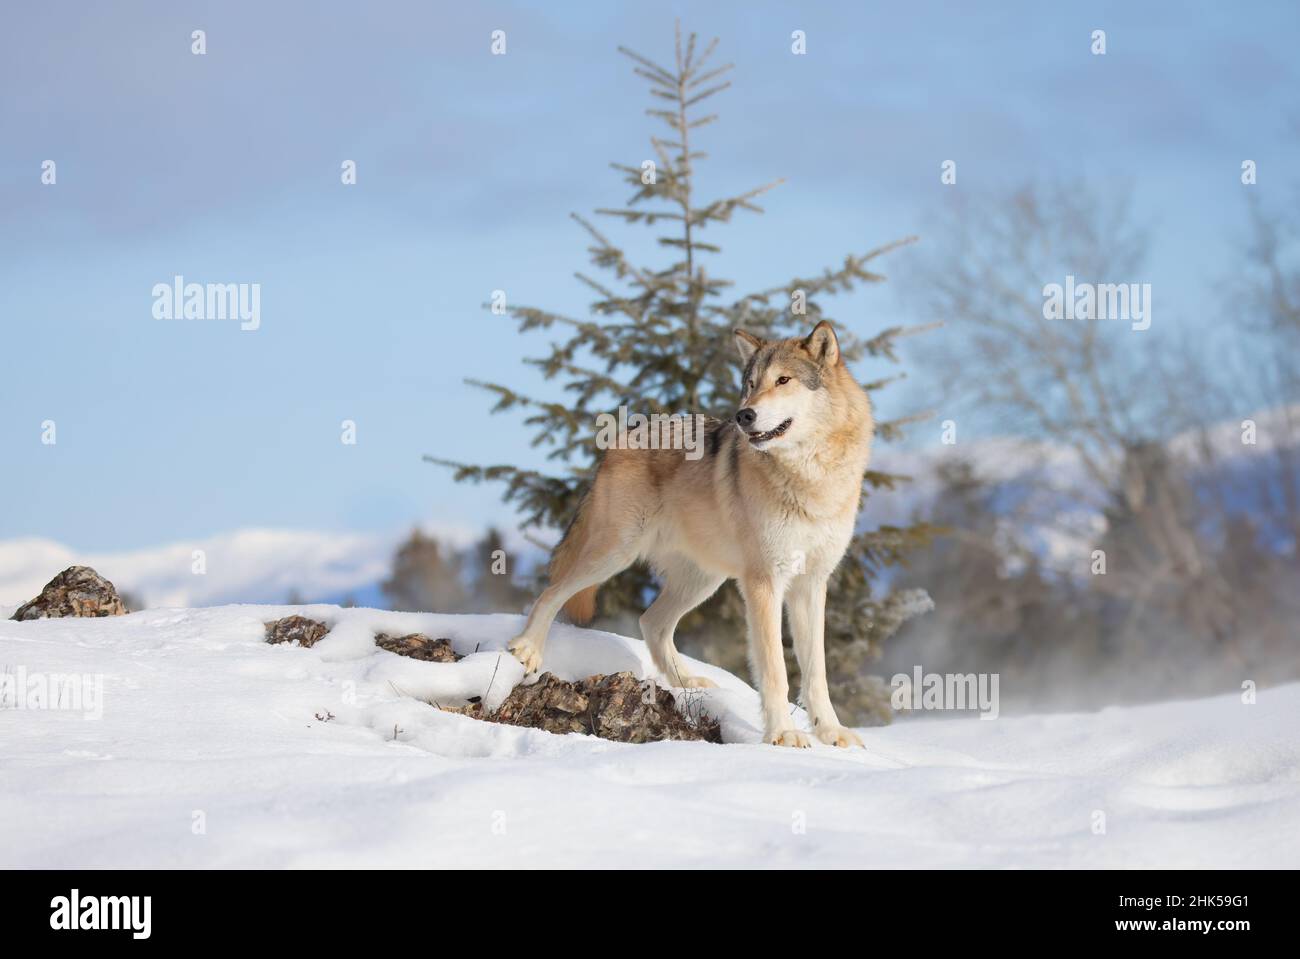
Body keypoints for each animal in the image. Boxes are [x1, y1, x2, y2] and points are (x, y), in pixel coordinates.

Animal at [507, 320, 872, 747]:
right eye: (751, 383)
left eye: (783, 380)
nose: (744, 415)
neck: (812, 477)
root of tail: (620, 438)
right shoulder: (765, 582)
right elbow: (776, 671)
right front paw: (783, 734)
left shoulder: (811, 583)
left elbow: (816, 672)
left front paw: (831, 732)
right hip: (617, 554)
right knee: (551, 592)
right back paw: (527, 651)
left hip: (703, 580)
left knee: (651, 622)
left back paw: (688, 683)